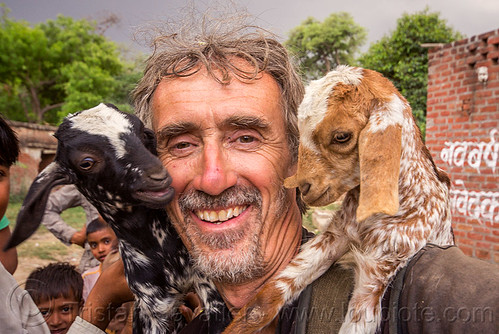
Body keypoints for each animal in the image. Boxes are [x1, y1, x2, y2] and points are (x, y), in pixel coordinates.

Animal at [6, 103, 226, 334]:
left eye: (144, 134)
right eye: (86, 162)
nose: (158, 176)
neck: (162, 249)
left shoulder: (211, 286)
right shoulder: (153, 302)